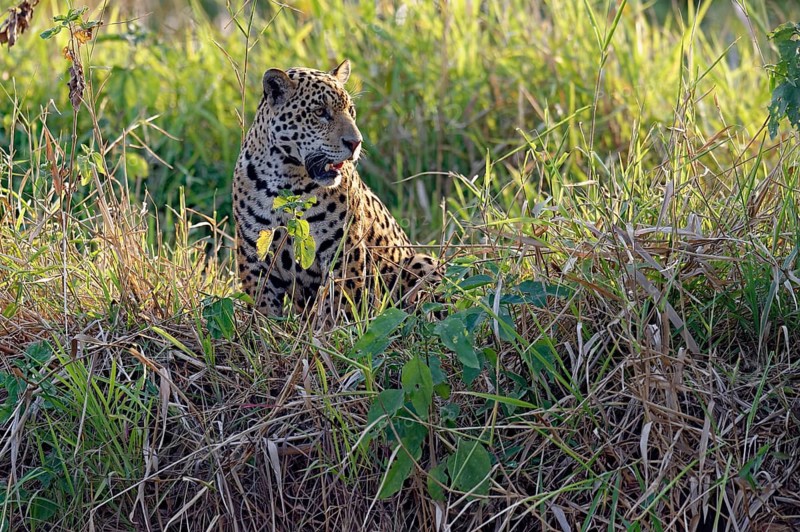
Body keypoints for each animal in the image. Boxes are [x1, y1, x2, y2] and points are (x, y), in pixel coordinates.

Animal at [233, 59, 440, 327]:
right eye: (320, 112)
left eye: (351, 110)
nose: (356, 142)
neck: (286, 179)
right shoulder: (254, 256)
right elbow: (263, 311)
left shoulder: (344, 253)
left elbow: (338, 305)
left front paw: (331, 334)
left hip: (420, 261)